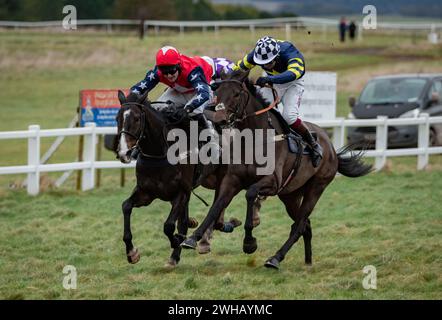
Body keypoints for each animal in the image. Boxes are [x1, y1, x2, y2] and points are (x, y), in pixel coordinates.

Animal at [115, 90, 249, 268]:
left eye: (137, 118)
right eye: (117, 118)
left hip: (222, 175)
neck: (161, 152)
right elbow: (126, 206)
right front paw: (132, 252)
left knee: (217, 205)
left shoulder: (182, 192)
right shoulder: (146, 193)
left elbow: (169, 226)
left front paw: (177, 241)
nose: (123, 153)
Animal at [181, 71, 372, 268]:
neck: (255, 139)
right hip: (290, 195)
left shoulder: (272, 182)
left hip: (316, 187)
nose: (218, 119)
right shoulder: (232, 180)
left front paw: (249, 242)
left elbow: (250, 193)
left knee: (299, 225)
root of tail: (331, 148)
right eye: (218, 93)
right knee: (305, 225)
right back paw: (307, 261)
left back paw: (275, 258)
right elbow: (216, 207)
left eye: (236, 94)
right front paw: (192, 238)